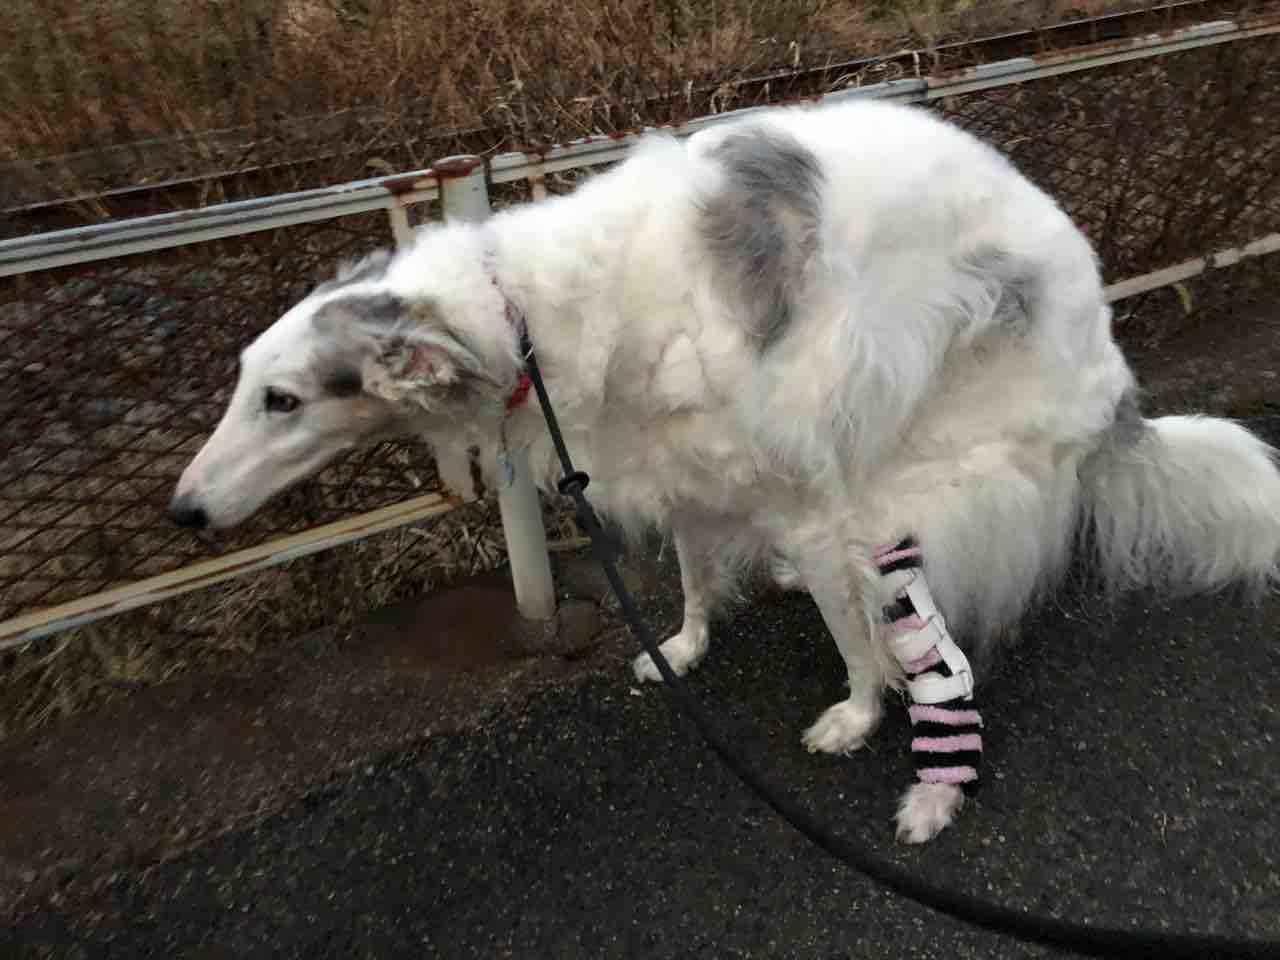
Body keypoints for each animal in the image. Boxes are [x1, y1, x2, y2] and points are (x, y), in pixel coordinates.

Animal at [170, 99, 1280, 842]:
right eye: (244, 380)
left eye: (282, 399)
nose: (183, 511)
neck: (525, 308)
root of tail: (1114, 386)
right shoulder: (687, 474)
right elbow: (698, 582)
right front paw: (683, 648)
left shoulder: (804, 494)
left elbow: (851, 643)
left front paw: (852, 717)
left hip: (926, 477)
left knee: (923, 638)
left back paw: (926, 792)